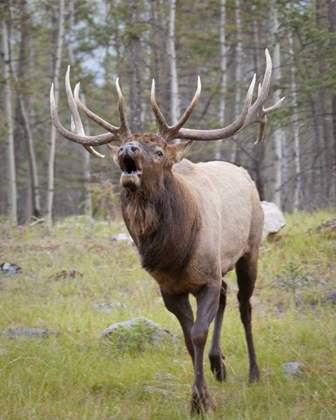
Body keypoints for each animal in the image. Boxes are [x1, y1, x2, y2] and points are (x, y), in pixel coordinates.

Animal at [50, 50, 284, 414]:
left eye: (158, 151)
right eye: (125, 144)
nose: (127, 150)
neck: (174, 253)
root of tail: (246, 176)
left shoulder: (206, 278)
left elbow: (199, 333)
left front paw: (201, 401)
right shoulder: (169, 289)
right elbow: (189, 339)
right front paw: (202, 393)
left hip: (251, 248)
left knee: (245, 304)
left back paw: (254, 373)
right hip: (222, 264)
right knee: (226, 294)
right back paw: (218, 364)